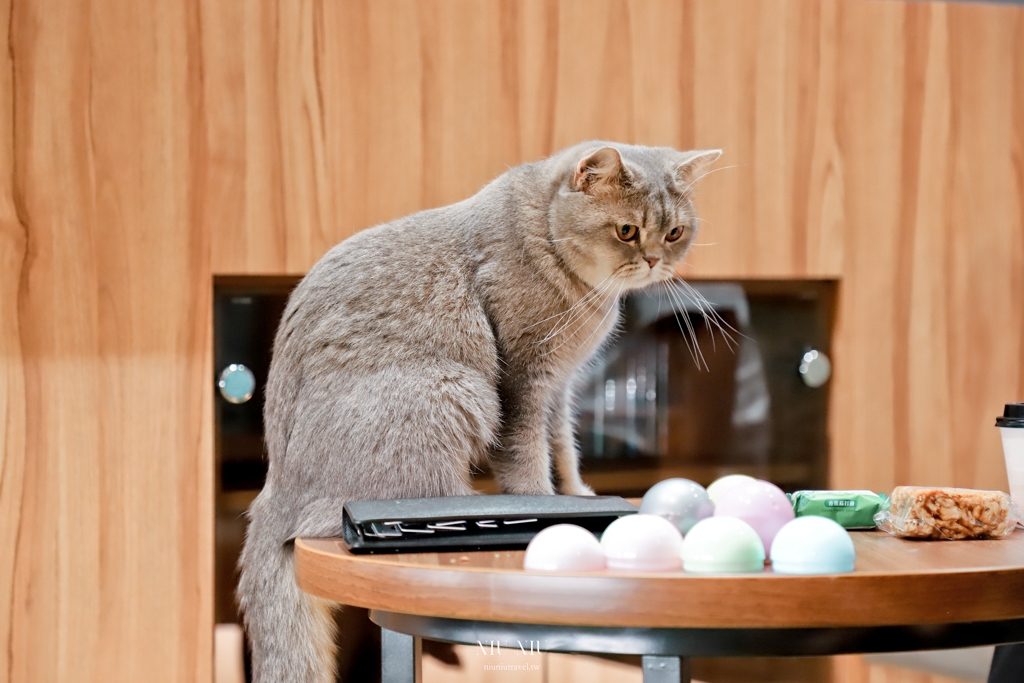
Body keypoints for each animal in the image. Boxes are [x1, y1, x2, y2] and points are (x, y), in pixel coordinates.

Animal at [238, 141, 720, 679]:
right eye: (627, 231)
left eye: (674, 232)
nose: (655, 260)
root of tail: (274, 494)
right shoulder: (524, 381)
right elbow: (526, 454)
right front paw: (541, 503)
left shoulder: (560, 388)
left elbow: (563, 448)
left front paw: (577, 494)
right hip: (455, 391)